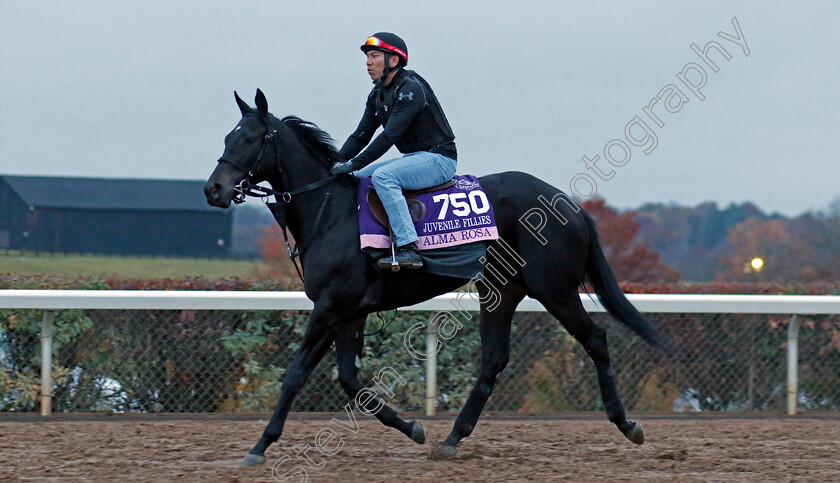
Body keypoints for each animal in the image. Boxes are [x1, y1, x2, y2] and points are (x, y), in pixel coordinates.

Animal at [205, 90, 668, 466]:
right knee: (493, 360)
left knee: (596, 340)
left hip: (554, 290)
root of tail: (569, 204)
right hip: (500, 291)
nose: (214, 190)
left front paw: (260, 446)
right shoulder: (350, 312)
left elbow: (296, 375)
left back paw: (627, 424)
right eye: (227, 138)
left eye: (249, 139)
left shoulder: (331, 307)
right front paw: (413, 428)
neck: (329, 211)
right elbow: (351, 382)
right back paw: (451, 438)